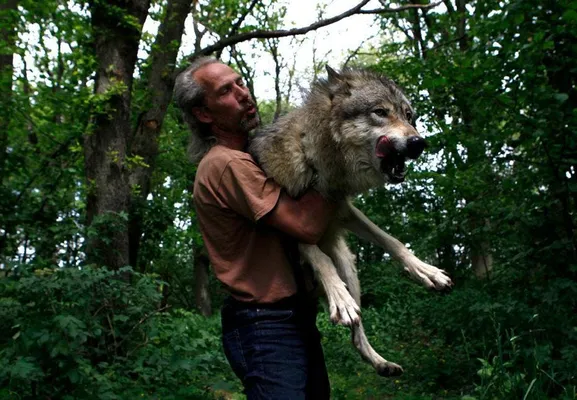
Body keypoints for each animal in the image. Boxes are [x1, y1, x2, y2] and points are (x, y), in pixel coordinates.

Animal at [250, 66, 452, 378]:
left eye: (408, 115)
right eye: (380, 112)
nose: (418, 143)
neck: (317, 163)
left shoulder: (343, 210)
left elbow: (391, 240)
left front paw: (425, 271)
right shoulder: (283, 225)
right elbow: (317, 256)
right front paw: (339, 297)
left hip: (350, 267)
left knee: (357, 335)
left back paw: (381, 363)